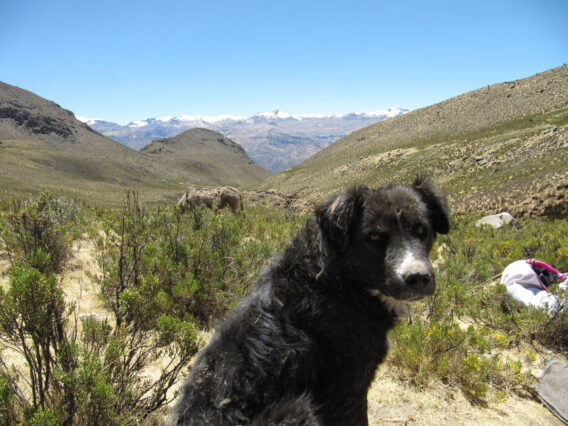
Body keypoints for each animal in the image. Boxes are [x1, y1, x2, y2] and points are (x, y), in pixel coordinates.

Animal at [171, 177, 450, 426]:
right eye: (373, 237)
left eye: (421, 230)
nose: (418, 278)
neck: (337, 283)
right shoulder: (348, 388)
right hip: (297, 410)